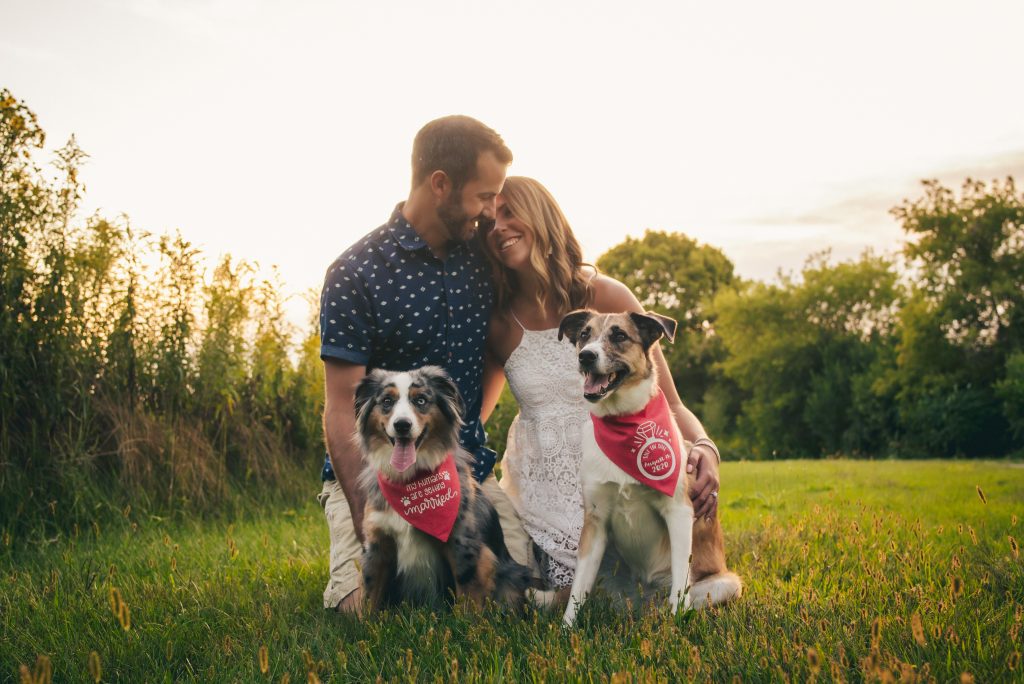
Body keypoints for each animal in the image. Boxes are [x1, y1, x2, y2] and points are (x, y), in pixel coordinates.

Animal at [354, 366, 528, 610]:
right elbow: (370, 597)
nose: (402, 425)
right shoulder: (378, 544)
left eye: (421, 400)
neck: (411, 480)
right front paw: (366, 619)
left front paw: (468, 620)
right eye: (387, 401)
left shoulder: (462, 542)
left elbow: (467, 596)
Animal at [557, 309, 741, 626]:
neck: (624, 421)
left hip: (727, 583)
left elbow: (680, 583)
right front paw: (566, 630)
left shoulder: (679, 511)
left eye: (619, 335)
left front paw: (677, 624)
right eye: (584, 334)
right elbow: (578, 591)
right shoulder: (595, 521)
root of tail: (644, 603)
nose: (586, 356)